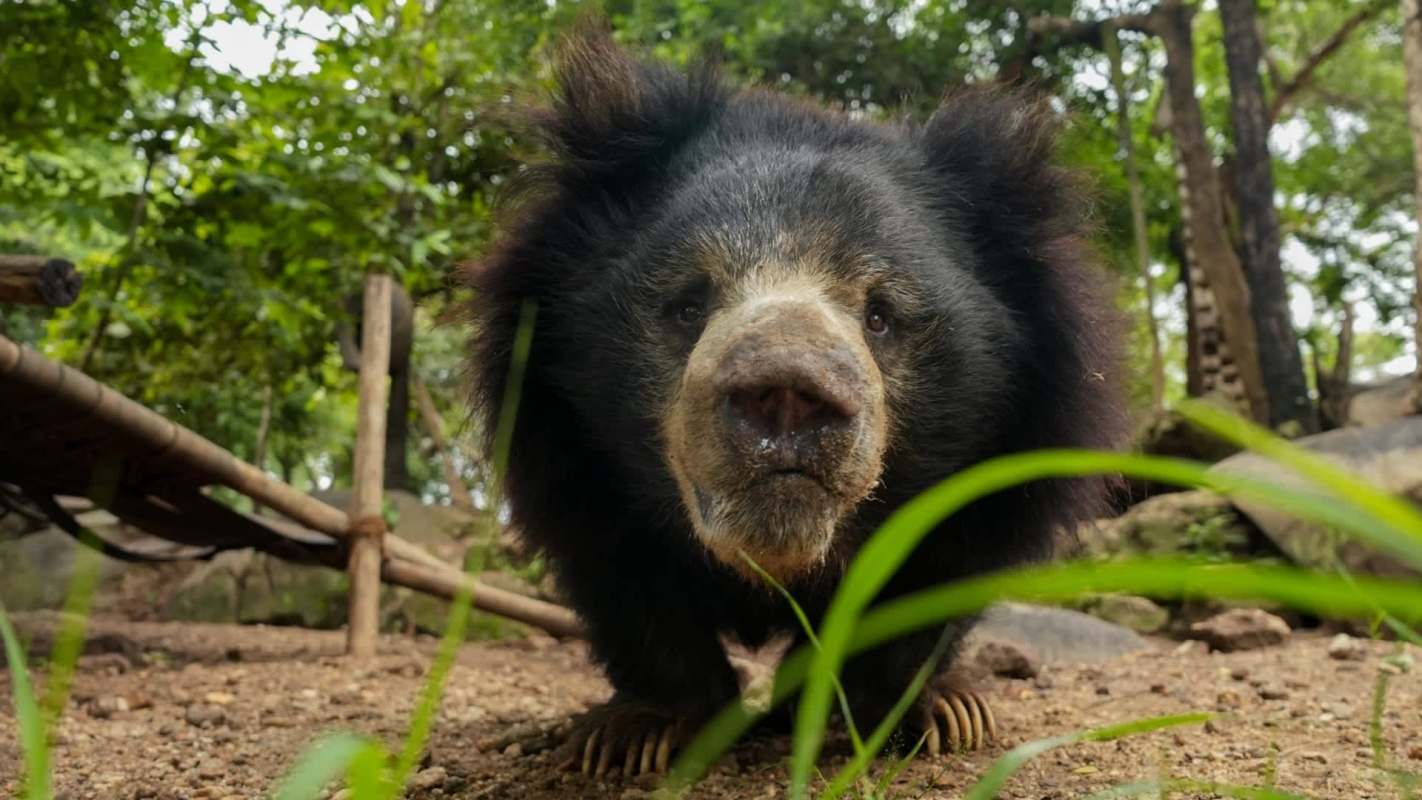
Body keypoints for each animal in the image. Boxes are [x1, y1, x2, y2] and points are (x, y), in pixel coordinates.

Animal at [463, 24, 1124, 778]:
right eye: (688, 303)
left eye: (881, 316)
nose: (786, 395)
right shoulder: (562, 437)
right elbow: (624, 574)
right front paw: (637, 731)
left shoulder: (1011, 449)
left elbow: (929, 572)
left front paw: (926, 714)